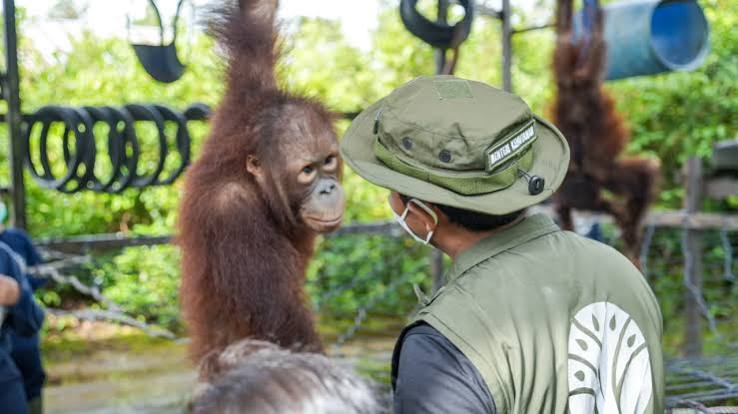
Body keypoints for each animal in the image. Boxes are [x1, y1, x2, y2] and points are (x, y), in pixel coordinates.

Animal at [177, 0, 345, 362]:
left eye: (328, 161)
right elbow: (281, 321)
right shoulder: (231, 213)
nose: (328, 188)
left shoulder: (246, 102)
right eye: (307, 170)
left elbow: (254, 20)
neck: (257, 185)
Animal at [551, 0, 660, 265]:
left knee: (583, 39)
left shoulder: (602, 177)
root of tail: (577, 84)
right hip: (574, 78)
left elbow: (645, 175)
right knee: (568, 36)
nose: (601, 204)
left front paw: (631, 236)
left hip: (581, 79)